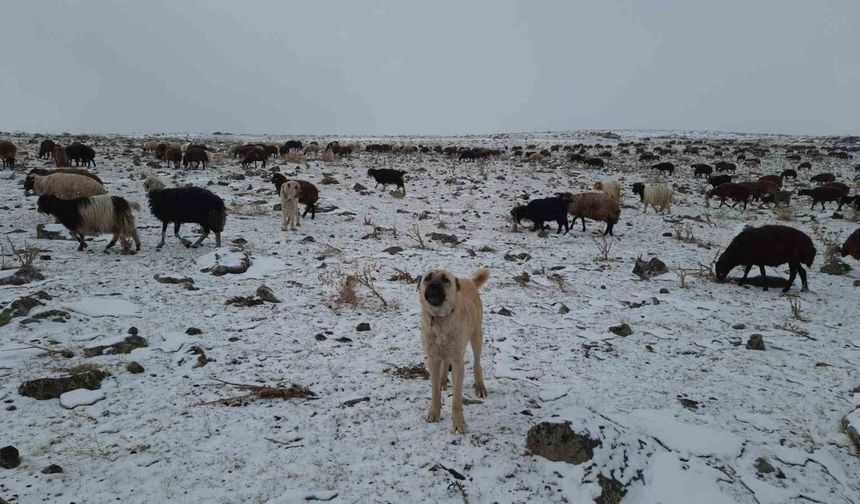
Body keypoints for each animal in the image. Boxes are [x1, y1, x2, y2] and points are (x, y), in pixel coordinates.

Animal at [418, 268, 490, 434]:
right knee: (445, 361)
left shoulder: (458, 362)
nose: (433, 285)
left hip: (476, 337)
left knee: (477, 364)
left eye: (445, 279)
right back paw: (443, 379)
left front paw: (458, 423)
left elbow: (457, 398)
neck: (439, 319)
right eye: (427, 278)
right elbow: (435, 392)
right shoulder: (432, 358)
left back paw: (480, 386)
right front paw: (434, 412)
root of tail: (469, 281)